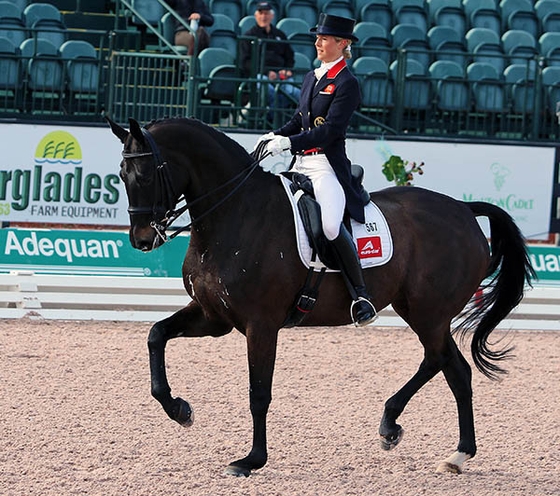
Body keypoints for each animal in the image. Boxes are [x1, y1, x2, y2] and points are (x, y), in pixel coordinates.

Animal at [108, 116, 532, 476]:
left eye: (146, 173)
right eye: (121, 176)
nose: (142, 240)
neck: (235, 213)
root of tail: (463, 209)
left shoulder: (261, 325)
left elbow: (259, 393)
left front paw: (251, 460)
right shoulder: (214, 318)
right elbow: (156, 336)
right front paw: (179, 410)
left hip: (429, 313)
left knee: (444, 363)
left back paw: (427, 439)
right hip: (419, 310)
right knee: (449, 366)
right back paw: (429, 442)